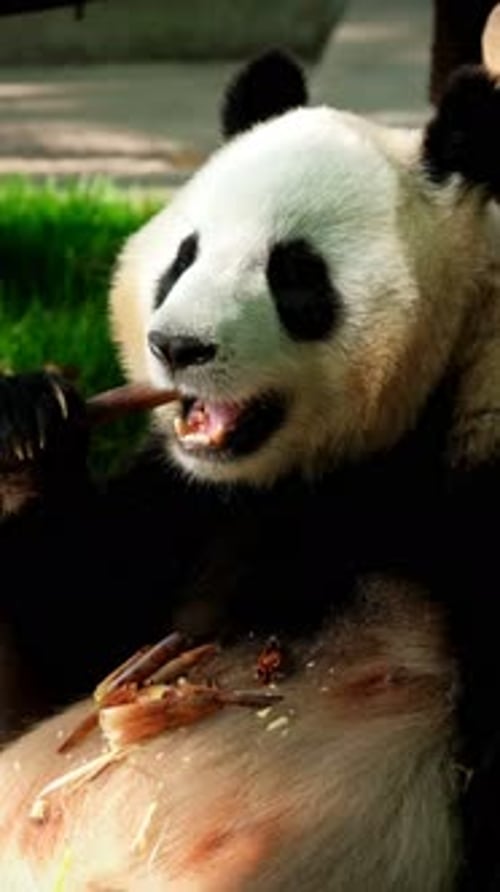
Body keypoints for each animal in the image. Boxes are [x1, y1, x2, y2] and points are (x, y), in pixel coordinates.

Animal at [1, 48, 500, 892]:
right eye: (184, 257)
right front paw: (27, 425)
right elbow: (56, 651)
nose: (176, 347)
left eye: (295, 274)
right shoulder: (191, 504)